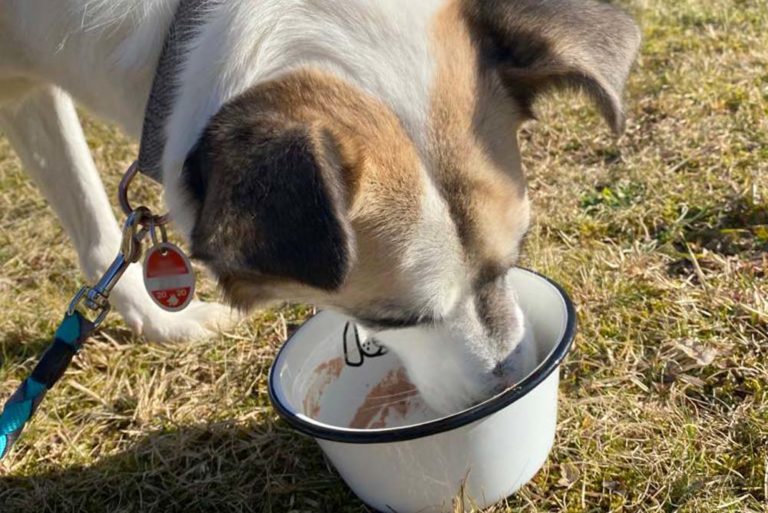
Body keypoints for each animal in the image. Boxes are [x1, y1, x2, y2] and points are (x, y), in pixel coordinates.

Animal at [0, 0, 640, 414]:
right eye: (392, 321)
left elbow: (92, 220)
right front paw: (161, 320)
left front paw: (156, 320)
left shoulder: (30, 95)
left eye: (514, 258)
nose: (506, 391)